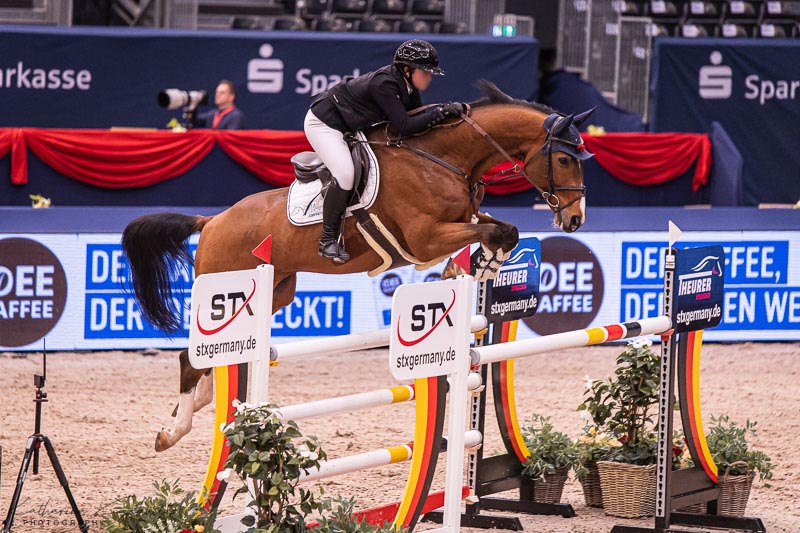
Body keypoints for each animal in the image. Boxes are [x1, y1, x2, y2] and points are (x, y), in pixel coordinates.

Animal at [121, 81, 594, 451]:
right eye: (564, 159)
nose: (575, 219)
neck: (443, 158)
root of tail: (212, 220)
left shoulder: (464, 220)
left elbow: (502, 230)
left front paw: (481, 266)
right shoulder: (426, 237)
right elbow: (494, 231)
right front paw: (477, 264)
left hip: (277, 292)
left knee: (214, 357)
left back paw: (199, 406)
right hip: (226, 286)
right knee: (190, 357)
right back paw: (171, 432)